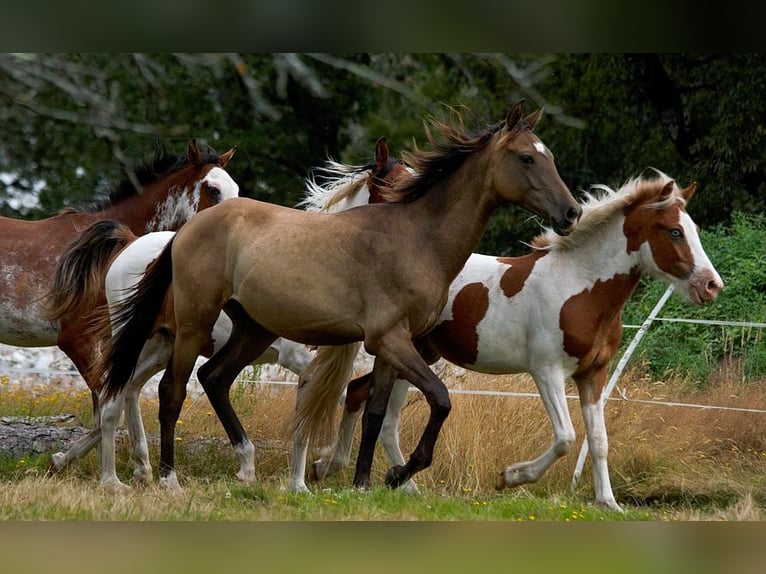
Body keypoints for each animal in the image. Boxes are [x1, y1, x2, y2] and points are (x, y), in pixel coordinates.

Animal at [47, 137, 408, 492]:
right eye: (392, 187)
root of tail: (131, 243)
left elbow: (339, 408)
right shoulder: (300, 358)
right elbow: (329, 407)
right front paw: (311, 476)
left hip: (164, 346)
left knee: (129, 389)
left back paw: (122, 465)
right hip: (141, 338)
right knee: (116, 395)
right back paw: (111, 478)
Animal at [97, 101, 584, 492]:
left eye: (550, 157)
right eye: (527, 157)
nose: (571, 212)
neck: (417, 239)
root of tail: (184, 231)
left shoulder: (391, 348)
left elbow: (373, 413)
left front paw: (362, 482)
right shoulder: (391, 340)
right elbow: (440, 399)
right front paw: (397, 473)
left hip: (252, 330)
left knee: (213, 378)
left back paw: (242, 466)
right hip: (194, 324)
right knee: (171, 390)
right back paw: (166, 478)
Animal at [308, 173, 728, 510]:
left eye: (694, 230)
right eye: (674, 231)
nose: (711, 285)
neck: (579, 289)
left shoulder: (592, 374)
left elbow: (598, 439)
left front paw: (608, 503)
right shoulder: (547, 372)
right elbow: (566, 437)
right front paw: (509, 478)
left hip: (415, 355)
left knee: (369, 403)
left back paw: (364, 475)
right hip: (403, 353)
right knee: (365, 400)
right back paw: (352, 472)